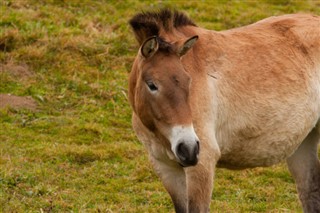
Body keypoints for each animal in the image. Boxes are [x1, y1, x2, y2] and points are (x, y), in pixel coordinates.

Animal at [127, 8, 320, 213]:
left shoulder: (202, 165)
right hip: (302, 142)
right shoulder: (166, 168)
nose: (188, 148)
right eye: (152, 85)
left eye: (188, 81)